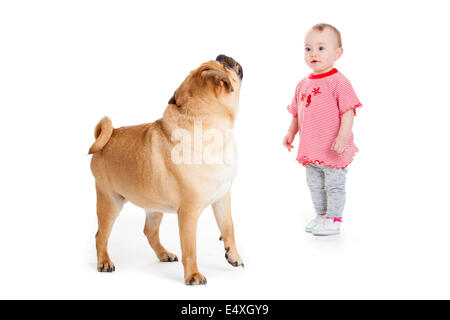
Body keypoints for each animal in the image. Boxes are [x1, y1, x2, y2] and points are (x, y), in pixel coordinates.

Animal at [88, 55, 243, 284]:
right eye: (224, 64)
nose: (222, 55)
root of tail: (110, 135)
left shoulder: (222, 199)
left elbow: (228, 228)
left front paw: (233, 255)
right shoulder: (188, 213)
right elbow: (190, 248)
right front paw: (193, 275)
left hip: (154, 207)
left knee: (149, 231)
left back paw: (163, 254)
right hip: (110, 201)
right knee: (101, 235)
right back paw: (104, 262)